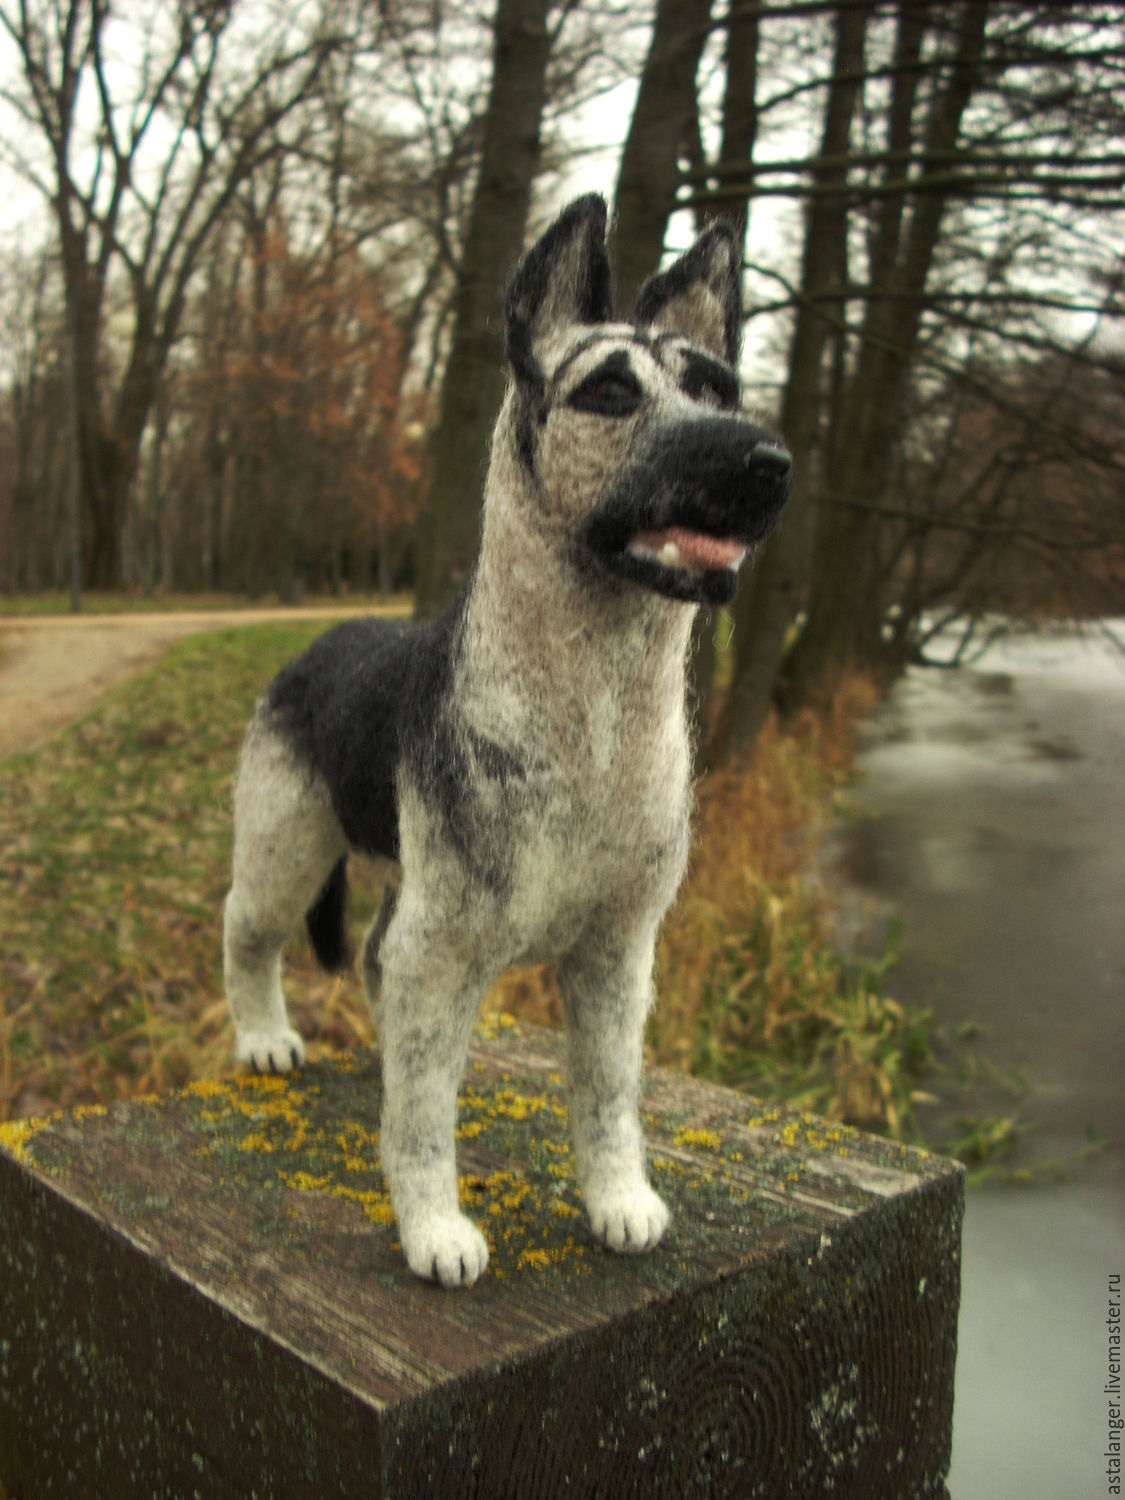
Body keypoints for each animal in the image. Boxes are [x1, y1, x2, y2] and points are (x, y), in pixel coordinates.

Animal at [225, 193, 792, 1284]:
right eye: (609, 392)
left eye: (715, 388)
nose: (766, 464)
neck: (594, 716)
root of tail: (317, 643)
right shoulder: (445, 947)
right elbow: (421, 1120)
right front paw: (432, 1225)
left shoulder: (615, 957)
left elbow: (607, 1095)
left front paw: (616, 1200)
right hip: (285, 847)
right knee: (249, 930)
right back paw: (264, 1037)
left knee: (374, 966)